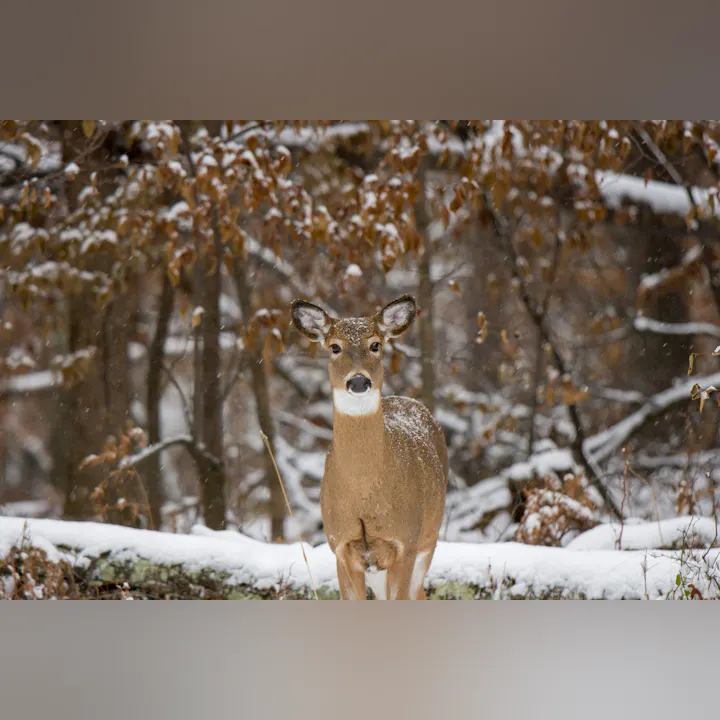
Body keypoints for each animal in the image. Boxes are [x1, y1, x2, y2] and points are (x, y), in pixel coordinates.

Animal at [291, 294, 448, 600]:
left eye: (375, 344)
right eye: (334, 347)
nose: (359, 380)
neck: (365, 492)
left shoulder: (406, 541)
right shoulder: (340, 546)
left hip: (429, 538)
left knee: (419, 591)